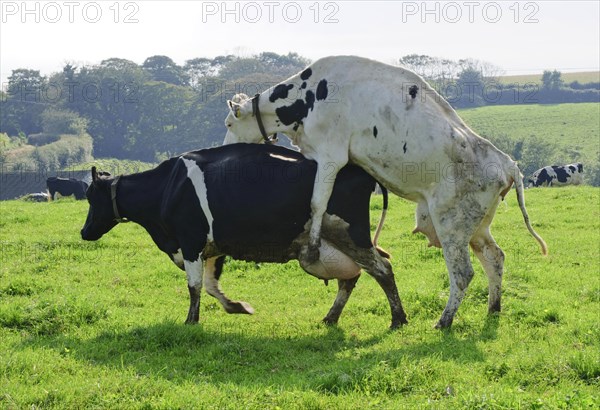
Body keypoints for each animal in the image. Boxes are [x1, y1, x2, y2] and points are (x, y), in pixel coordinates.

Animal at [81, 144, 408, 330]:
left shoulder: (190, 242)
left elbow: (194, 287)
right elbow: (211, 287)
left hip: (351, 235)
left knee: (382, 269)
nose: (84, 232)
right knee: (351, 278)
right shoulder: (212, 248)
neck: (167, 187)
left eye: (91, 198)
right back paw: (330, 318)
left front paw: (190, 322)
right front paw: (238, 307)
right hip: (335, 244)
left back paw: (398, 320)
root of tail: (361, 171)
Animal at [223, 55, 548, 330]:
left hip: (452, 225)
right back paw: (493, 308)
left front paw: (313, 248)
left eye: (228, 122)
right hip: (477, 226)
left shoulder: (330, 155)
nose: (223, 148)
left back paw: (444, 321)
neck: (309, 97)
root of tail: (506, 162)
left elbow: (318, 202)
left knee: (463, 273)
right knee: (495, 258)